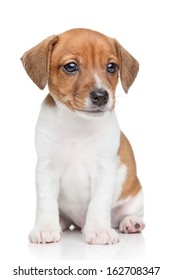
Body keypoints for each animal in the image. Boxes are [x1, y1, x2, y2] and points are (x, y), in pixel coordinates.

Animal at [20, 27, 145, 244]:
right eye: (71, 66)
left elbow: (98, 203)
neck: (77, 124)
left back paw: (131, 222)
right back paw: (60, 223)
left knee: (127, 214)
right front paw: (45, 228)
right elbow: (46, 202)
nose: (101, 96)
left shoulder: (105, 170)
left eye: (112, 67)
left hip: (136, 197)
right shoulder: (46, 169)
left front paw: (99, 230)